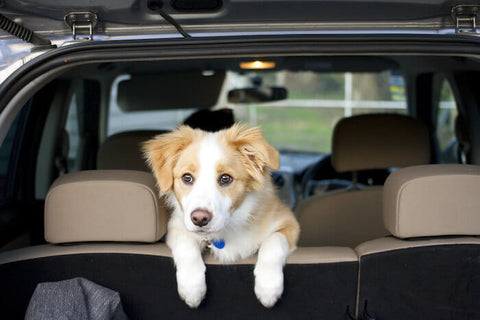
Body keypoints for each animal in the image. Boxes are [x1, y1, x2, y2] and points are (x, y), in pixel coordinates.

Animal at [142, 124, 300, 308]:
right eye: (187, 178)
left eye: (225, 178)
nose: (200, 219)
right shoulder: (177, 226)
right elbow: (186, 244)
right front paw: (192, 287)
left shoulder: (289, 222)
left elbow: (274, 242)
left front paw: (268, 286)